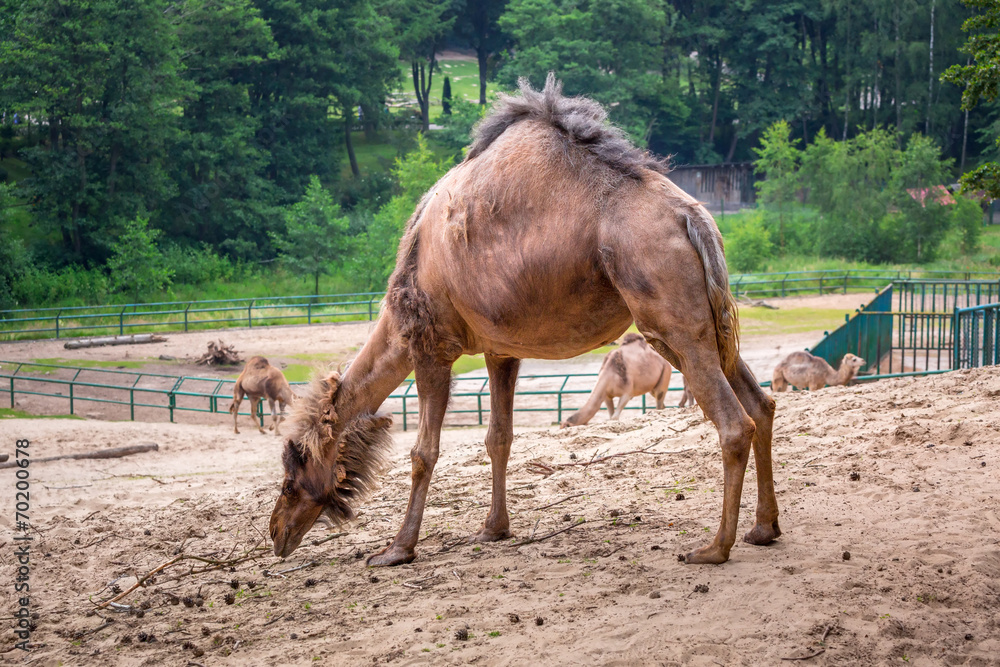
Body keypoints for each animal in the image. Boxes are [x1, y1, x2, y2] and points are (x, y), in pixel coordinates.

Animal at [268, 77, 780, 568]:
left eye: (291, 478)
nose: (276, 533)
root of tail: (693, 217)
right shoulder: (501, 349)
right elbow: (499, 437)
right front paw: (494, 528)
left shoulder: (431, 346)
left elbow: (423, 452)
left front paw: (397, 549)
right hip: (705, 323)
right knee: (761, 403)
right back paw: (763, 528)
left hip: (669, 319)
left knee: (734, 423)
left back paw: (713, 548)